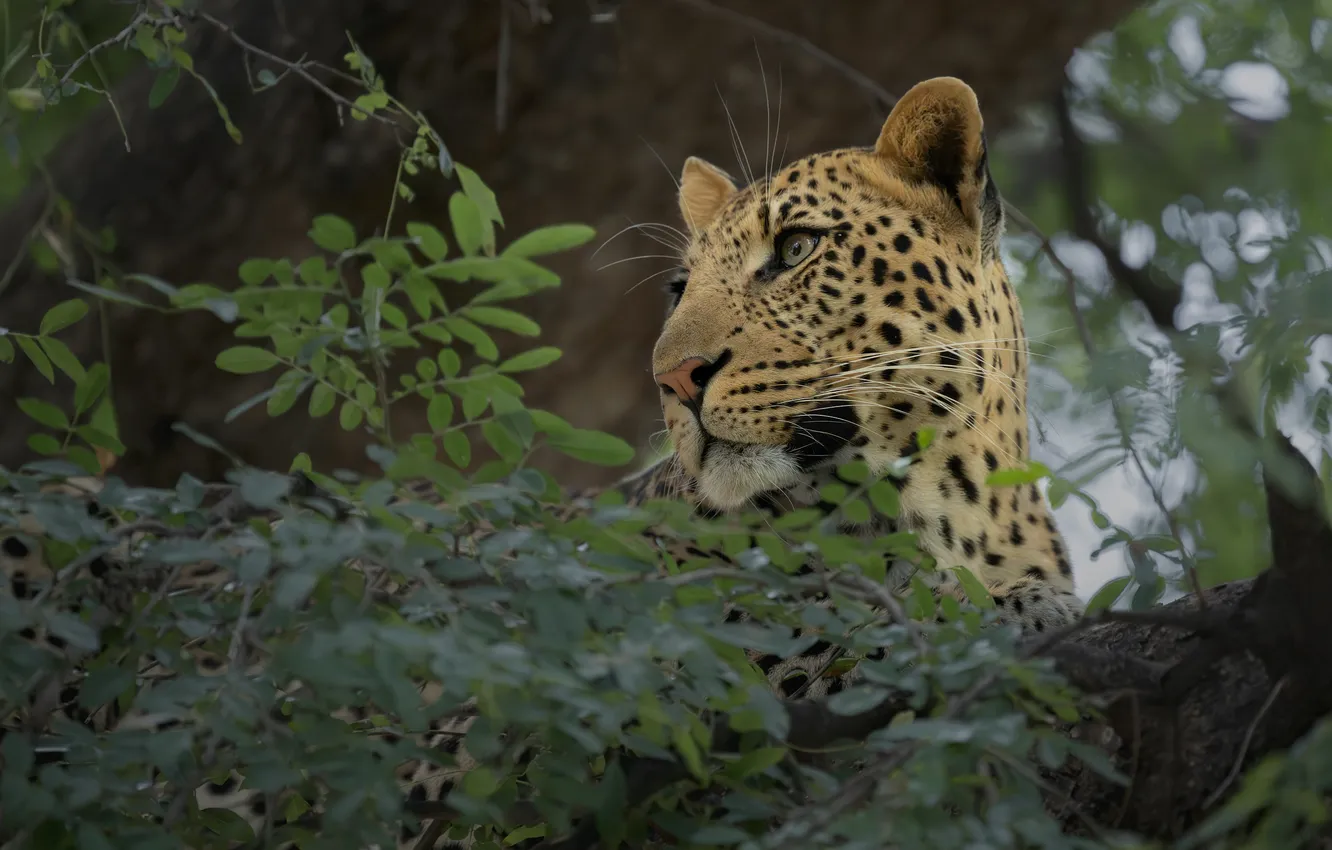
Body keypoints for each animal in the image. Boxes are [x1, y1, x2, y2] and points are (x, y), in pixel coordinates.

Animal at [0, 77, 1081, 849]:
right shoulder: (481, 747)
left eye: (796, 250)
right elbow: (796, 653)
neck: (957, 500)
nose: (672, 378)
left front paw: (1023, 612)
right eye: (682, 286)